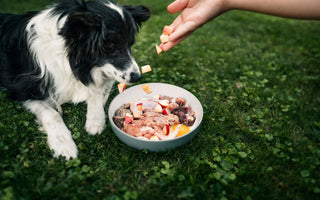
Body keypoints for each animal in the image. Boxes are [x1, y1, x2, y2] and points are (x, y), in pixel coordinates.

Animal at [0, 0, 151, 159]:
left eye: (131, 44)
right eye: (111, 48)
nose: (137, 77)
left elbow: (96, 91)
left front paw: (95, 120)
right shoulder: (24, 89)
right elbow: (52, 114)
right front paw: (63, 144)